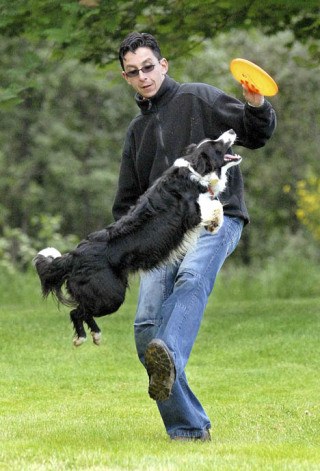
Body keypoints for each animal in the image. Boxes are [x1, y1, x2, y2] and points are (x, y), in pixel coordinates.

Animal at [33, 129, 241, 346]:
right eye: (216, 144)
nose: (231, 131)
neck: (196, 171)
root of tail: (73, 256)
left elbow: (215, 205)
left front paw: (213, 225)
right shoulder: (192, 213)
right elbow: (215, 205)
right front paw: (215, 223)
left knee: (82, 311)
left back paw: (94, 335)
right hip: (111, 295)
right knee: (77, 311)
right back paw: (83, 337)